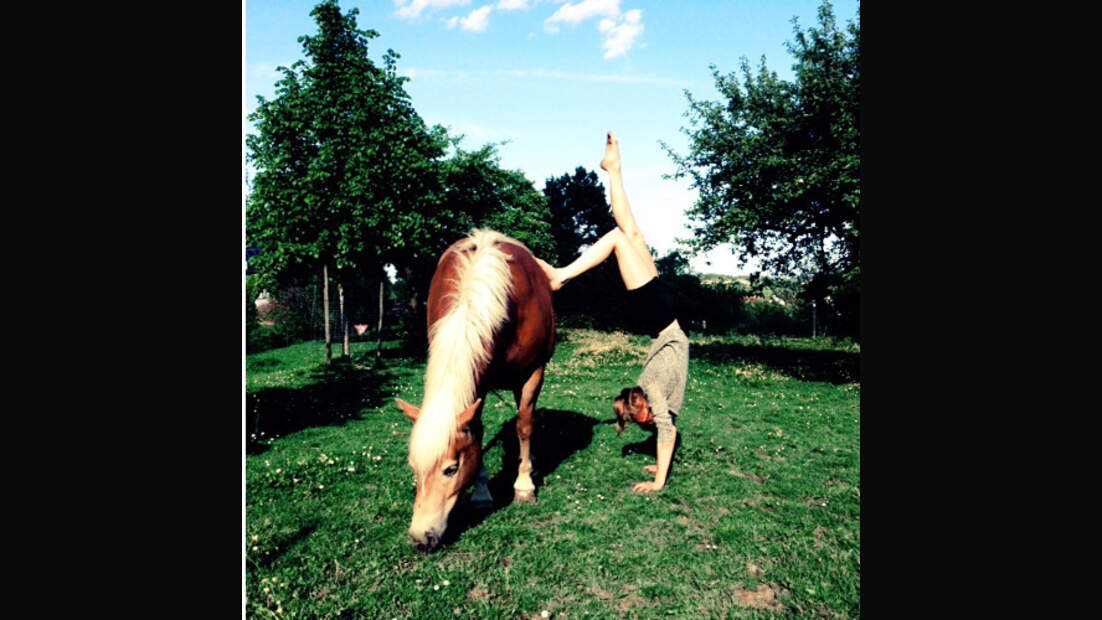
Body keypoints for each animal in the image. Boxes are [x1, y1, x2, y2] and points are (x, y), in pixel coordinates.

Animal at [394, 230, 555, 550]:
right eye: (413, 467)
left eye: (451, 469)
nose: (421, 537)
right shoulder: (477, 384)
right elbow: (477, 432)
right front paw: (482, 494)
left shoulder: (532, 373)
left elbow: (525, 425)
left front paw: (524, 486)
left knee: (526, 418)